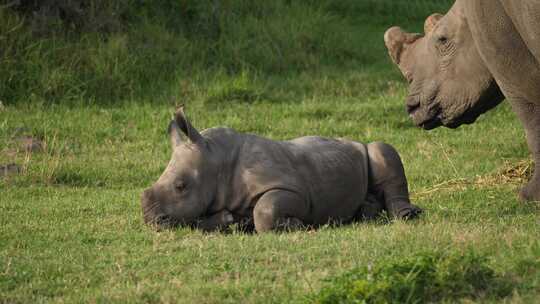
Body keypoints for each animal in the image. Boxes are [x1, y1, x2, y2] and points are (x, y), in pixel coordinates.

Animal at [140, 107, 422, 233]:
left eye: (180, 186)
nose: (150, 220)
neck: (216, 159)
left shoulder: (293, 189)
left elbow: (265, 209)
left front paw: (297, 225)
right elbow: (202, 219)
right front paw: (232, 221)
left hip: (365, 148)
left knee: (381, 149)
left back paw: (408, 215)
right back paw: (364, 213)